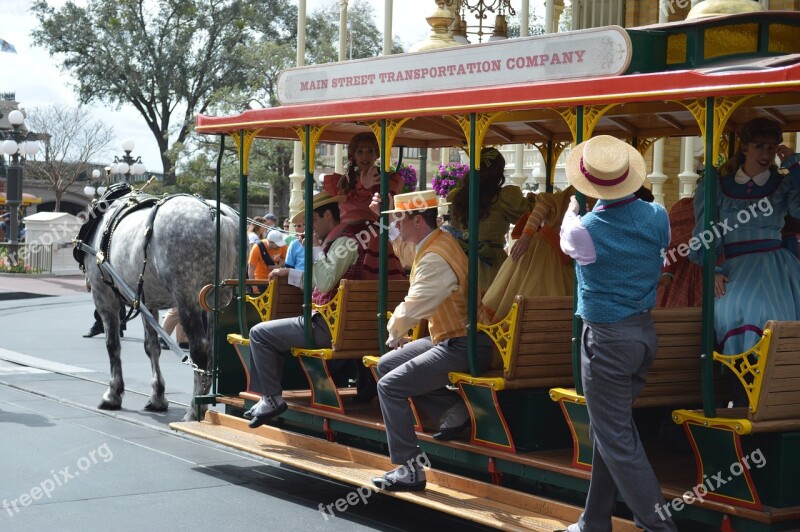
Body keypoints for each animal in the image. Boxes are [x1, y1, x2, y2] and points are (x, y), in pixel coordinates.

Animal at [74, 189, 238, 422]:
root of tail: (217, 216)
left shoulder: (104, 297)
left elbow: (112, 344)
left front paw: (113, 394)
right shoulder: (146, 302)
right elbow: (151, 347)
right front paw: (158, 396)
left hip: (188, 298)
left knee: (200, 349)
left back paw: (193, 411)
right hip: (222, 301)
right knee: (219, 349)